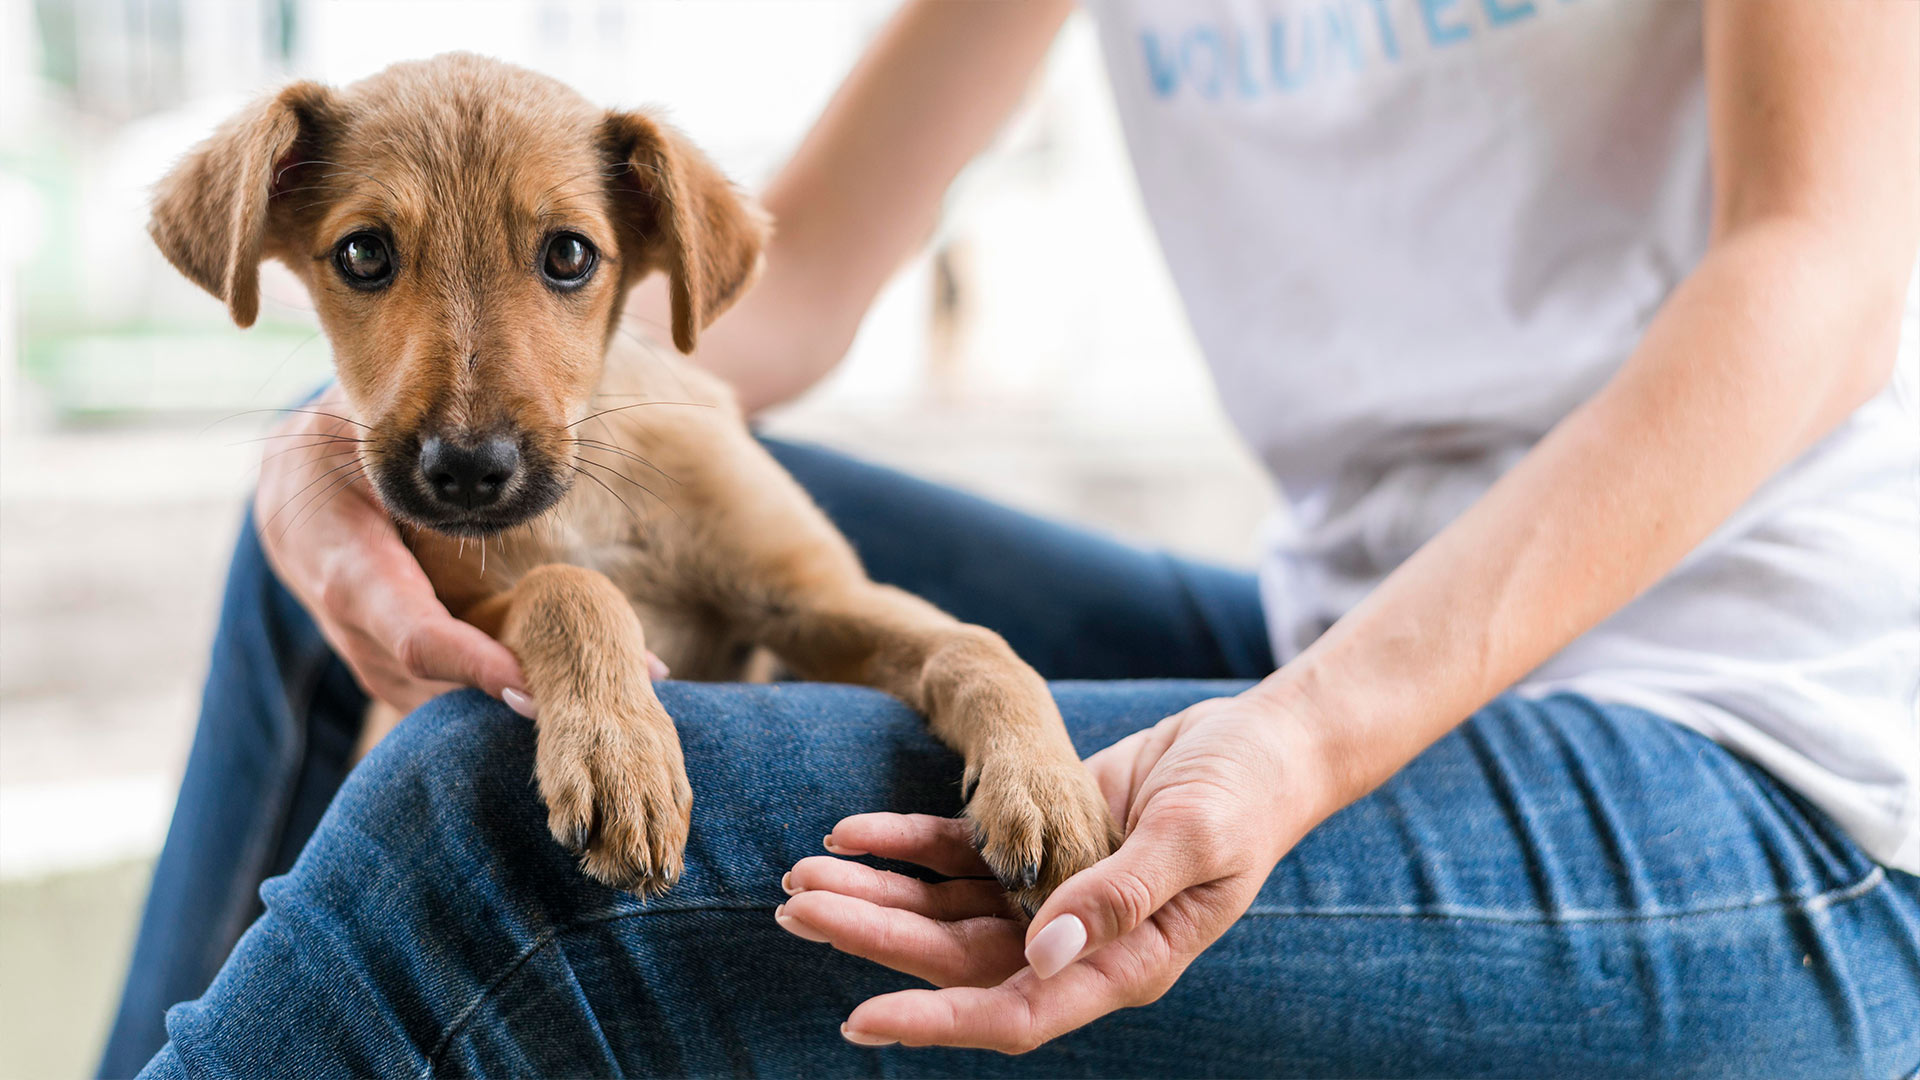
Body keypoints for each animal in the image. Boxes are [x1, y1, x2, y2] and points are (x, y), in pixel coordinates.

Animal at [149, 52, 1121, 907]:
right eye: (362, 255)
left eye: (570, 255)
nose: (466, 471)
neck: (591, 498)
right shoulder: (458, 615)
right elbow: (568, 587)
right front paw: (621, 755)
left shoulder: (813, 600)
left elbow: (977, 646)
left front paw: (1048, 785)